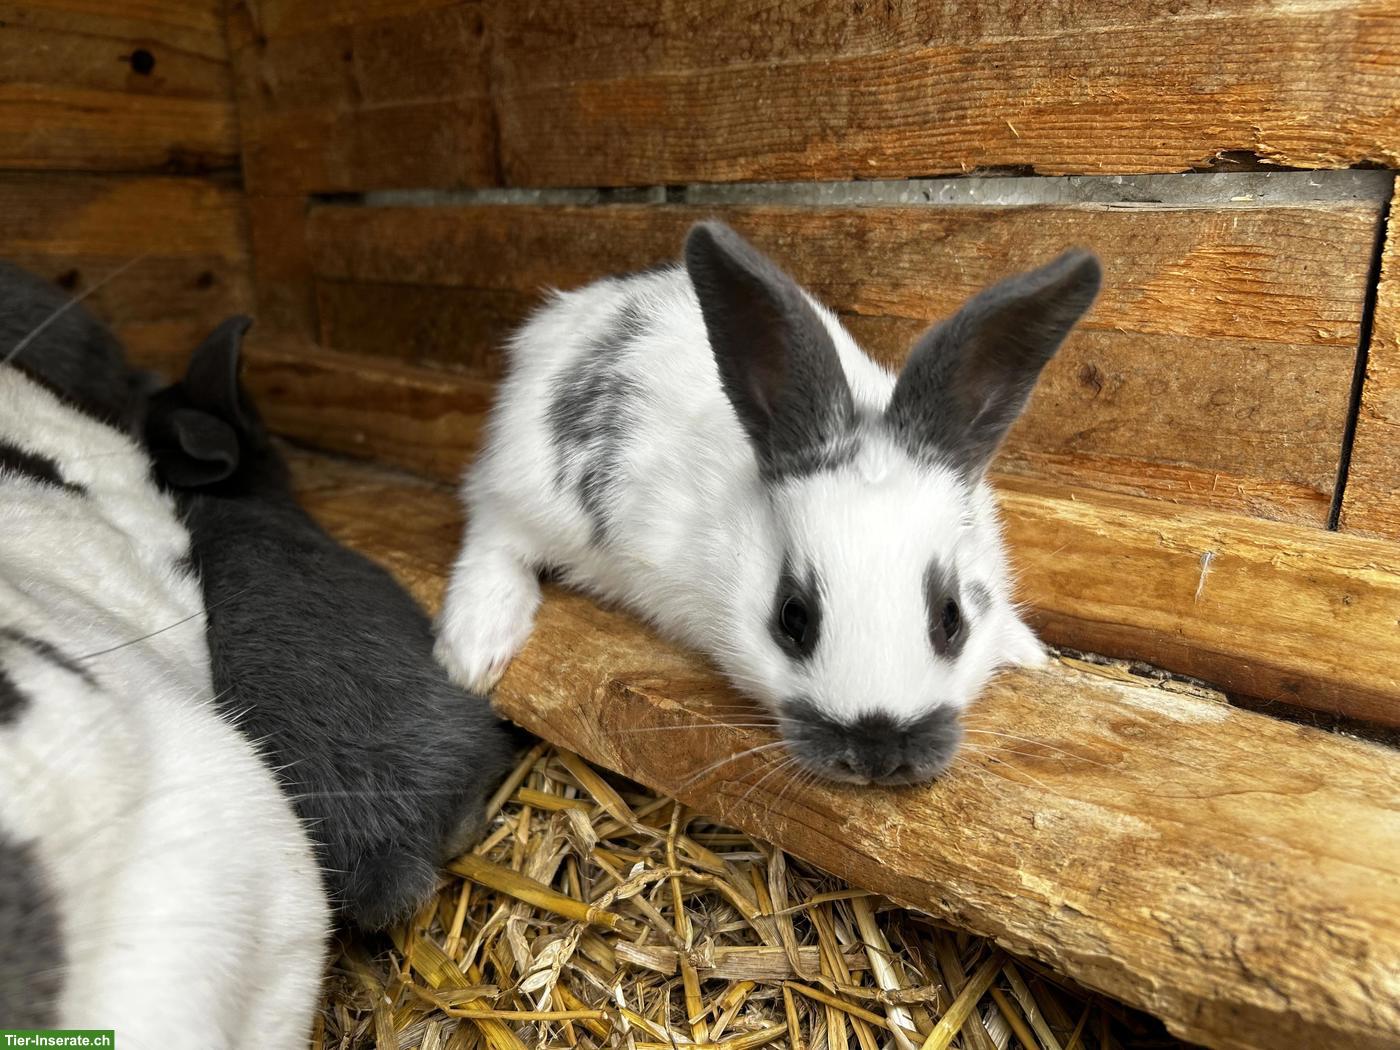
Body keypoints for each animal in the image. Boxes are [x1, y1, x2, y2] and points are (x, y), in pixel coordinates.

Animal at [435, 221, 1101, 786]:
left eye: (952, 618)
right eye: (792, 618)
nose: (877, 755)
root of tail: (563, 319)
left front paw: (1024, 649)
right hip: (528, 488)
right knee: (492, 532)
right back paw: (474, 649)